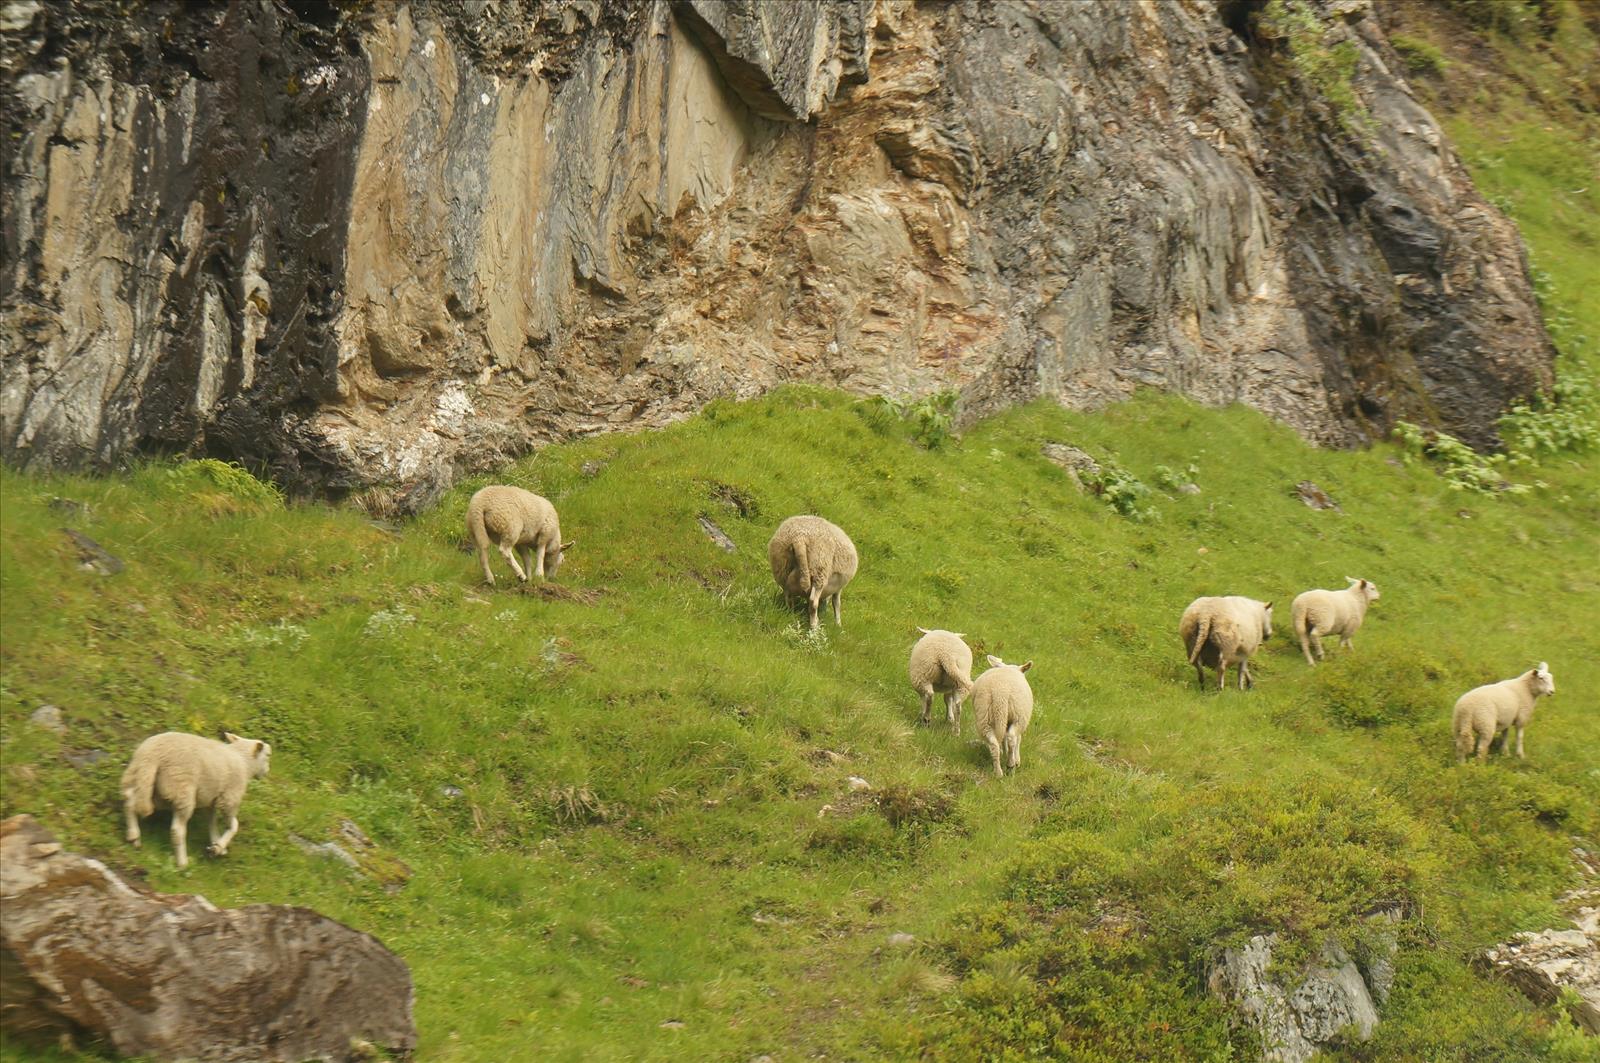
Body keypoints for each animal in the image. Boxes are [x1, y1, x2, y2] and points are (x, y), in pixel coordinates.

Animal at [121, 736, 275, 870]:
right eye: (268, 755)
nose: (267, 772)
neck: (244, 762)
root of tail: (153, 755)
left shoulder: (211, 799)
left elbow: (212, 822)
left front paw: (216, 845)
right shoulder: (229, 798)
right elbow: (234, 825)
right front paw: (219, 846)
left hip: (149, 783)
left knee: (130, 800)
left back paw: (133, 835)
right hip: (181, 789)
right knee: (177, 830)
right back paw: (182, 862)